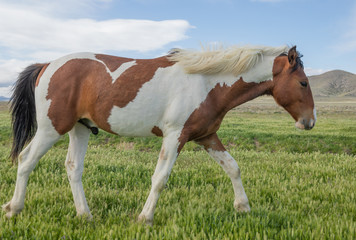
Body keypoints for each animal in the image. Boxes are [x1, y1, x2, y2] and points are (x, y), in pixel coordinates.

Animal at [2, 45, 314, 225]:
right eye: (303, 82)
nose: (309, 122)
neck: (207, 82)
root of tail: (46, 65)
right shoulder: (175, 136)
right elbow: (160, 178)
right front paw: (145, 218)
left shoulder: (207, 136)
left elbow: (233, 168)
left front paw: (243, 207)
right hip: (52, 128)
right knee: (27, 160)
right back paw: (14, 208)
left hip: (80, 128)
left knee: (73, 168)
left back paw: (85, 215)